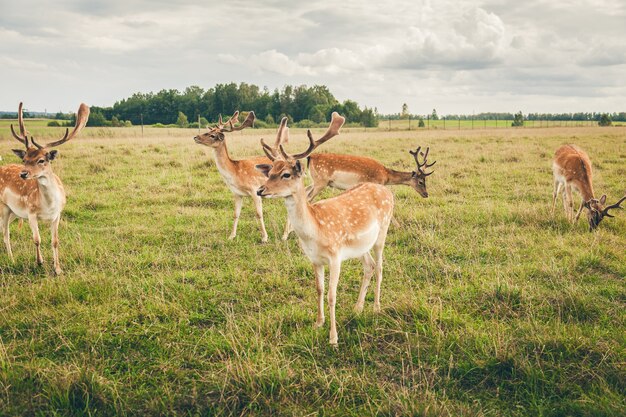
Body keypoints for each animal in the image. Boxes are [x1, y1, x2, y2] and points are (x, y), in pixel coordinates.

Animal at [0, 102, 89, 274]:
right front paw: (39, 262)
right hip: (4, 208)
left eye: (41, 160)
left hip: (14, 212)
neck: (48, 205)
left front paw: (58, 269)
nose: (23, 173)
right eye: (25, 159)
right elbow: (37, 239)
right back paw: (11, 259)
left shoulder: (57, 214)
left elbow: (55, 241)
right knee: (5, 234)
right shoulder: (30, 213)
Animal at [193, 110, 288, 242]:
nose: (196, 137)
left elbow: (259, 214)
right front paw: (231, 236)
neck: (235, 173)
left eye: (212, 135)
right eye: (210, 131)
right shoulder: (237, 193)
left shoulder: (254, 190)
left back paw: (285, 235)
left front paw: (264, 237)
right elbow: (236, 214)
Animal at [252, 111, 390, 344]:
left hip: (383, 231)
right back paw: (358, 308)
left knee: (380, 266)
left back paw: (377, 307)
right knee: (369, 266)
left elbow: (332, 295)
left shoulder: (335, 256)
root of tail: (388, 192)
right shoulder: (315, 259)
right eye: (269, 173)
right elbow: (319, 289)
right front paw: (318, 323)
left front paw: (333, 338)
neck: (314, 233)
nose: (260, 190)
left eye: (286, 174)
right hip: (361, 246)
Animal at [272, 146, 434, 239]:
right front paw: (399, 227)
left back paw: (288, 233)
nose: (426, 194)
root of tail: (310, 157)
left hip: (315, 182)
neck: (386, 176)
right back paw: (288, 234)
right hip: (320, 182)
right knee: (307, 199)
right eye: (421, 181)